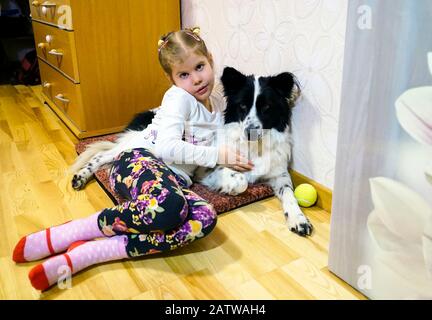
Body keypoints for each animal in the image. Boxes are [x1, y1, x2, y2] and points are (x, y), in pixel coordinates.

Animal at [71, 67, 314, 238]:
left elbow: (289, 194)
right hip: (138, 146)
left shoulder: (279, 174)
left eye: (266, 107)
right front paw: (230, 187)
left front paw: (299, 219)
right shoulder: (207, 171)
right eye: (243, 106)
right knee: (101, 156)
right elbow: (240, 180)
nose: (250, 132)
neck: (255, 146)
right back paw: (81, 176)